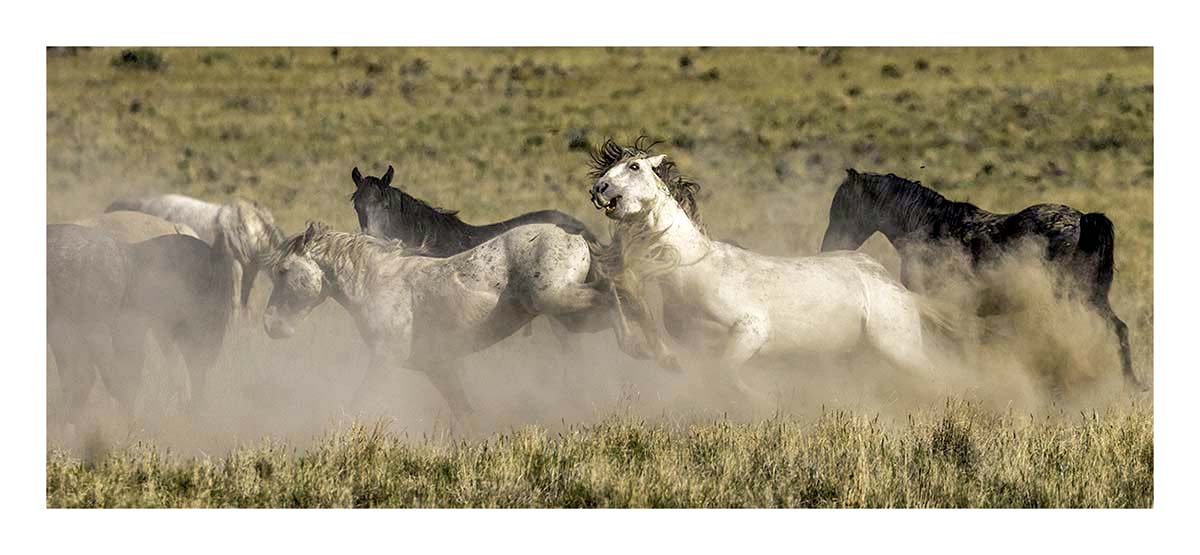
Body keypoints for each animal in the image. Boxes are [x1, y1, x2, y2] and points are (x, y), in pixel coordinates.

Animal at [262, 222, 638, 424]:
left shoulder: (386, 359)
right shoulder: (438, 366)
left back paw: (641, 347)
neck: (379, 283)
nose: (270, 325)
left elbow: (360, 401)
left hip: (558, 299)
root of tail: (575, 235)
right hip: (571, 316)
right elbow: (465, 411)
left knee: (611, 293)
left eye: (282, 271)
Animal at [586, 139, 950, 406]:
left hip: (899, 348)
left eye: (633, 166)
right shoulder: (699, 347)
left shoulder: (751, 331)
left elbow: (726, 374)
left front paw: (768, 400)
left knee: (939, 374)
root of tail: (901, 291)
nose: (598, 189)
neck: (696, 270)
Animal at [818, 169, 1142, 390]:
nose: (828, 247)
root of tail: (1083, 219)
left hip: (1070, 297)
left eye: (845, 206)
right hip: (1090, 296)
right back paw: (1131, 384)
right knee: (1119, 329)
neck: (929, 228)